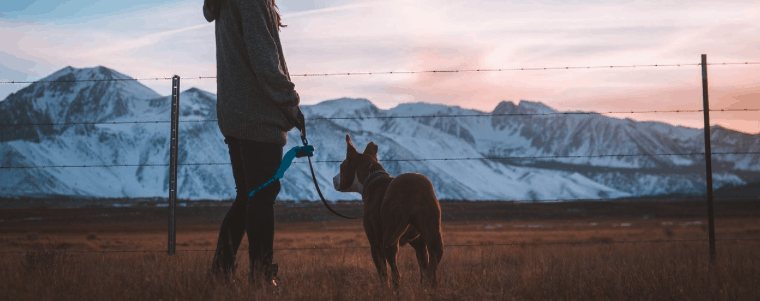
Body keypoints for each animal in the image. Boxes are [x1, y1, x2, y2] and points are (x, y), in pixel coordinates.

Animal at [332, 134, 446, 288]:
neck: (371, 178)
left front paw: (383, 289)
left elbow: (382, 273)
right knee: (432, 271)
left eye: (341, 166)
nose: (333, 178)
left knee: (396, 273)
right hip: (433, 235)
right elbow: (424, 269)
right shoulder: (419, 243)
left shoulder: (375, 243)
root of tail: (410, 190)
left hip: (390, 237)